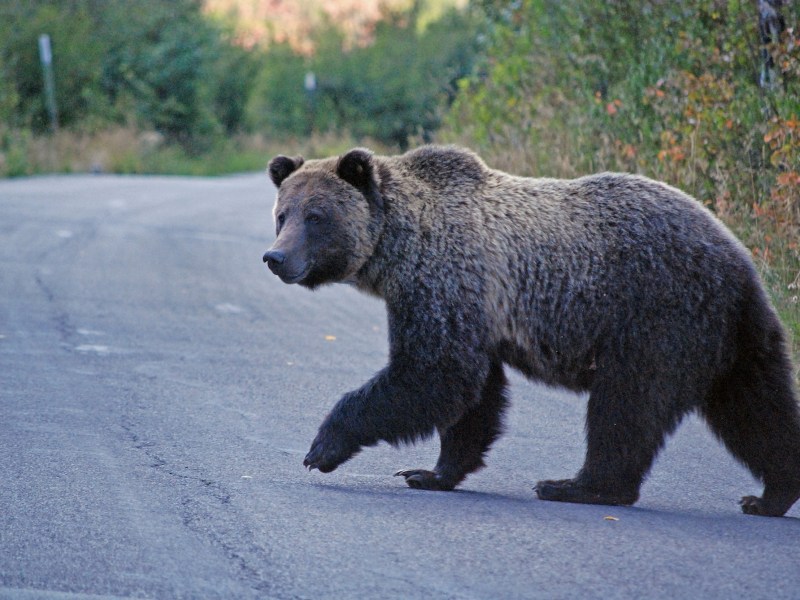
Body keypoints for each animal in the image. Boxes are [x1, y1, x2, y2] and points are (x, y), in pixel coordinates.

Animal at [262, 144, 800, 517]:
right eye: (282, 215)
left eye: (316, 216)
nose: (275, 257)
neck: (400, 246)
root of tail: (738, 257)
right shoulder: (474, 310)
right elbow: (473, 396)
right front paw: (431, 472)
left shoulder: (445, 280)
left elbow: (433, 373)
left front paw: (323, 446)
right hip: (731, 335)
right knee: (756, 408)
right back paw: (771, 494)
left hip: (655, 315)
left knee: (627, 405)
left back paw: (577, 486)